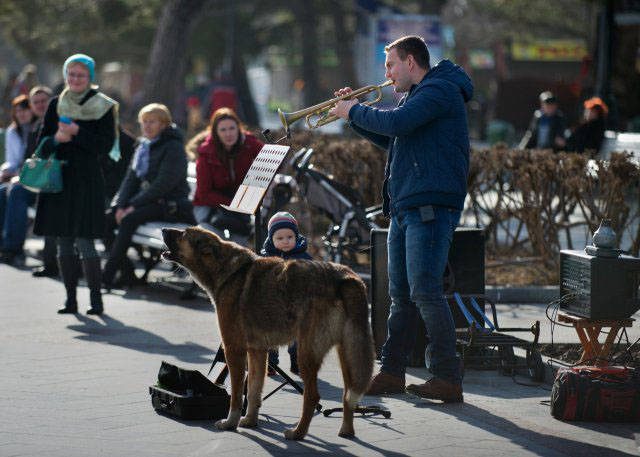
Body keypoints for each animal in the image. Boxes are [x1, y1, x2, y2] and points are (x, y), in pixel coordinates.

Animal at [161, 226, 376, 440]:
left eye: (183, 234)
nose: (163, 229)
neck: (227, 271)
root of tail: (346, 277)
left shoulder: (234, 350)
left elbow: (237, 395)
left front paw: (231, 422)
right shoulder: (257, 352)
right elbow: (254, 391)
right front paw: (250, 420)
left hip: (306, 353)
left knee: (312, 396)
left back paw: (298, 432)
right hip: (347, 353)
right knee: (348, 395)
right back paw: (346, 430)